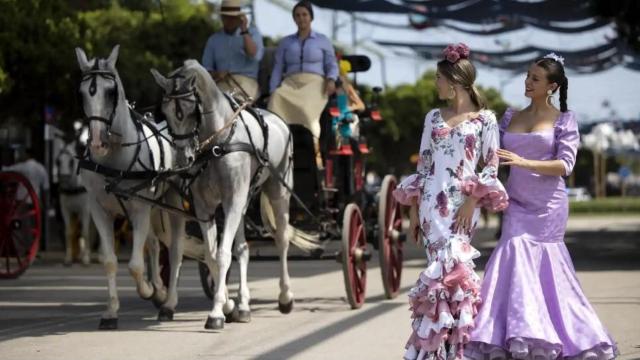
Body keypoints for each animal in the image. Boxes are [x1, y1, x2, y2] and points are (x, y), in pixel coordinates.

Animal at [75, 45, 186, 330]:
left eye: (110, 92)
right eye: (82, 93)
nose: (97, 141)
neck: (113, 160)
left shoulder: (139, 209)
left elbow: (135, 265)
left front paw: (148, 290)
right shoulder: (99, 210)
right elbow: (110, 261)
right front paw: (111, 311)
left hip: (171, 202)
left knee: (174, 250)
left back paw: (168, 301)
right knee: (154, 245)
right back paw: (160, 289)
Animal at [151, 60, 320, 330]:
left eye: (190, 112)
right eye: (164, 112)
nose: (183, 159)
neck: (218, 143)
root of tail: (279, 120)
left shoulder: (231, 201)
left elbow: (222, 254)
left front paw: (216, 314)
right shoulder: (205, 207)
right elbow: (212, 255)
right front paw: (227, 306)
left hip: (278, 191)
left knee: (282, 240)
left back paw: (285, 297)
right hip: (242, 201)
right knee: (242, 248)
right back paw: (242, 306)